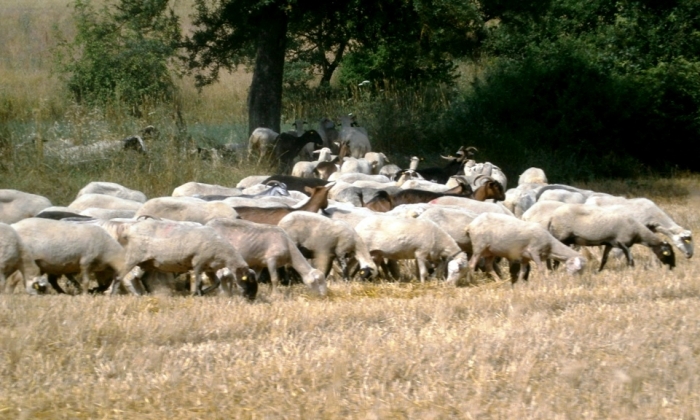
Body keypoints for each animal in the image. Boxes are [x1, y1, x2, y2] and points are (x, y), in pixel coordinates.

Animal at [548, 204, 676, 272]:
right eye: (668, 253)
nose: (673, 266)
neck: (638, 231)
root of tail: (552, 217)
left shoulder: (610, 243)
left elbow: (604, 259)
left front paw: (598, 271)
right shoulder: (623, 242)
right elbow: (630, 259)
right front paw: (632, 271)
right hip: (561, 236)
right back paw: (554, 268)